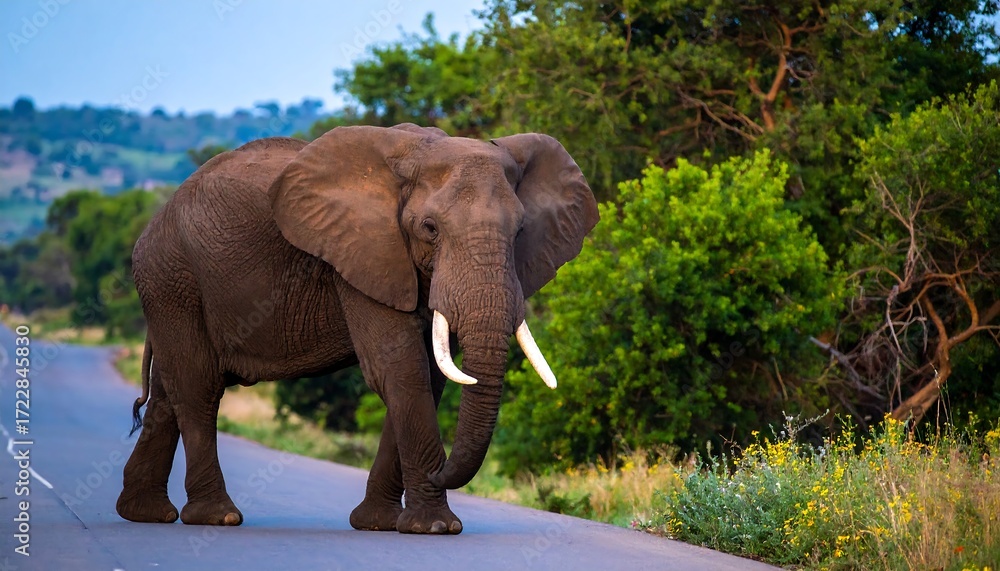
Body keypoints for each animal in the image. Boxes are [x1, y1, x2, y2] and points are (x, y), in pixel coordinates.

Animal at [115, 123, 599, 534]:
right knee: (198, 386)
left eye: (520, 231)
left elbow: (430, 375)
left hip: (172, 285)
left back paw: (145, 514)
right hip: (172, 277)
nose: (441, 470)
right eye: (430, 228)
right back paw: (217, 517)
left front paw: (380, 524)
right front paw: (437, 527)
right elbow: (401, 369)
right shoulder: (359, 254)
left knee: (169, 391)